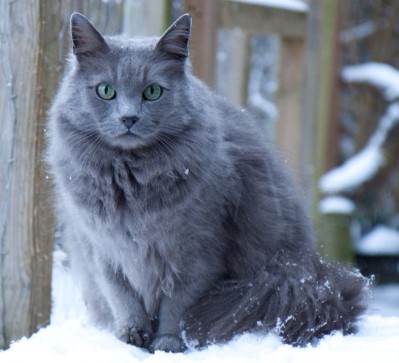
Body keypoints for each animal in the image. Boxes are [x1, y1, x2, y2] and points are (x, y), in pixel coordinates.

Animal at [47, 13, 372, 352]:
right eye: (105, 90)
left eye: (152, 92)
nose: (128, 118)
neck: (132, 184)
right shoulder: (102, 250)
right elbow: (123, 299)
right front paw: (132, 336)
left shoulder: (197, 254)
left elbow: (177, 306)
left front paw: (167, 343)